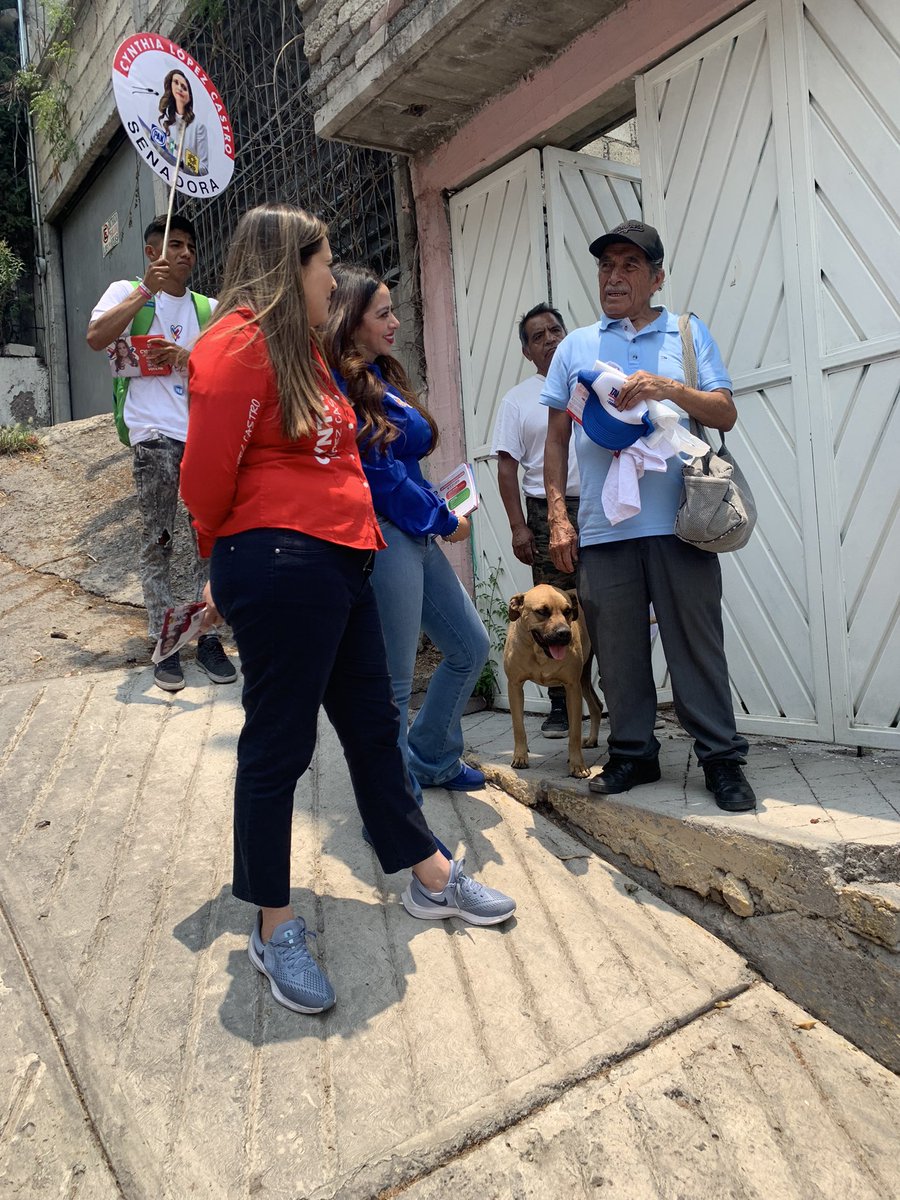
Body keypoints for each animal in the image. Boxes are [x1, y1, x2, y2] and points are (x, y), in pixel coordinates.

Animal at [504, 583, 602, 777]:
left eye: (567, 611)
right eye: (542, 611)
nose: (564, 633)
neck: (540, 651)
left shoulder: (572, 687)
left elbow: (575, 733)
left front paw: (577, 765)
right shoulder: (514, 686)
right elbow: (518, 727)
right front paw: (520, 756)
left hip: (585, 678)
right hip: (583, 679)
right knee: (596, 705)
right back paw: (592, 740)